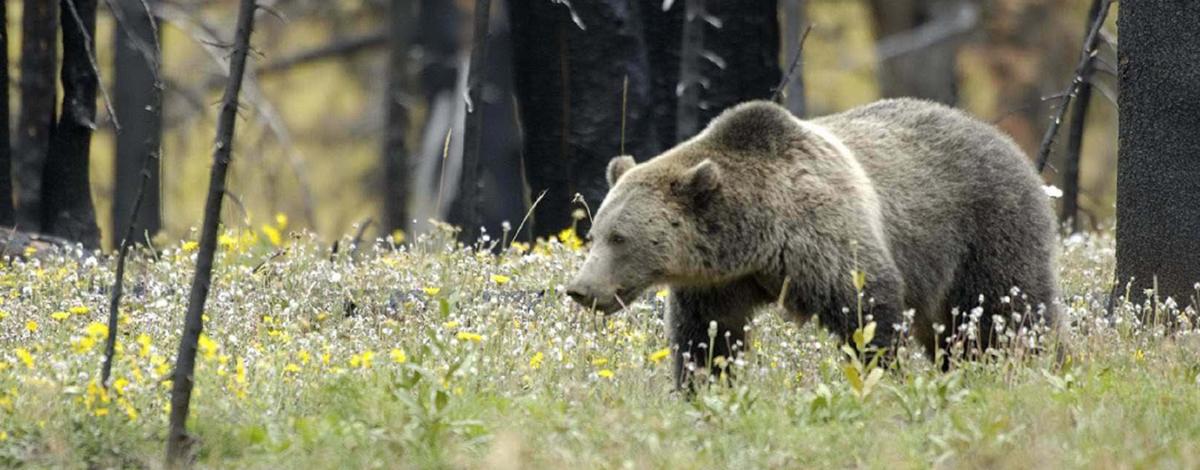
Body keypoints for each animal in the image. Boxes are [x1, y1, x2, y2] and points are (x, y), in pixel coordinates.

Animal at [565, 98, 1059, 387]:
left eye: (620, 237)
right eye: (594, 234)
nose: (580, 289)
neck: (756, 239)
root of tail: (1004, 139)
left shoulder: (823, 238)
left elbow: (867, 311)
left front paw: (883, 377)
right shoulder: (718, 283)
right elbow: (707, 338)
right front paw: (704, 387)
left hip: (986, 228)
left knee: (1006, 312)